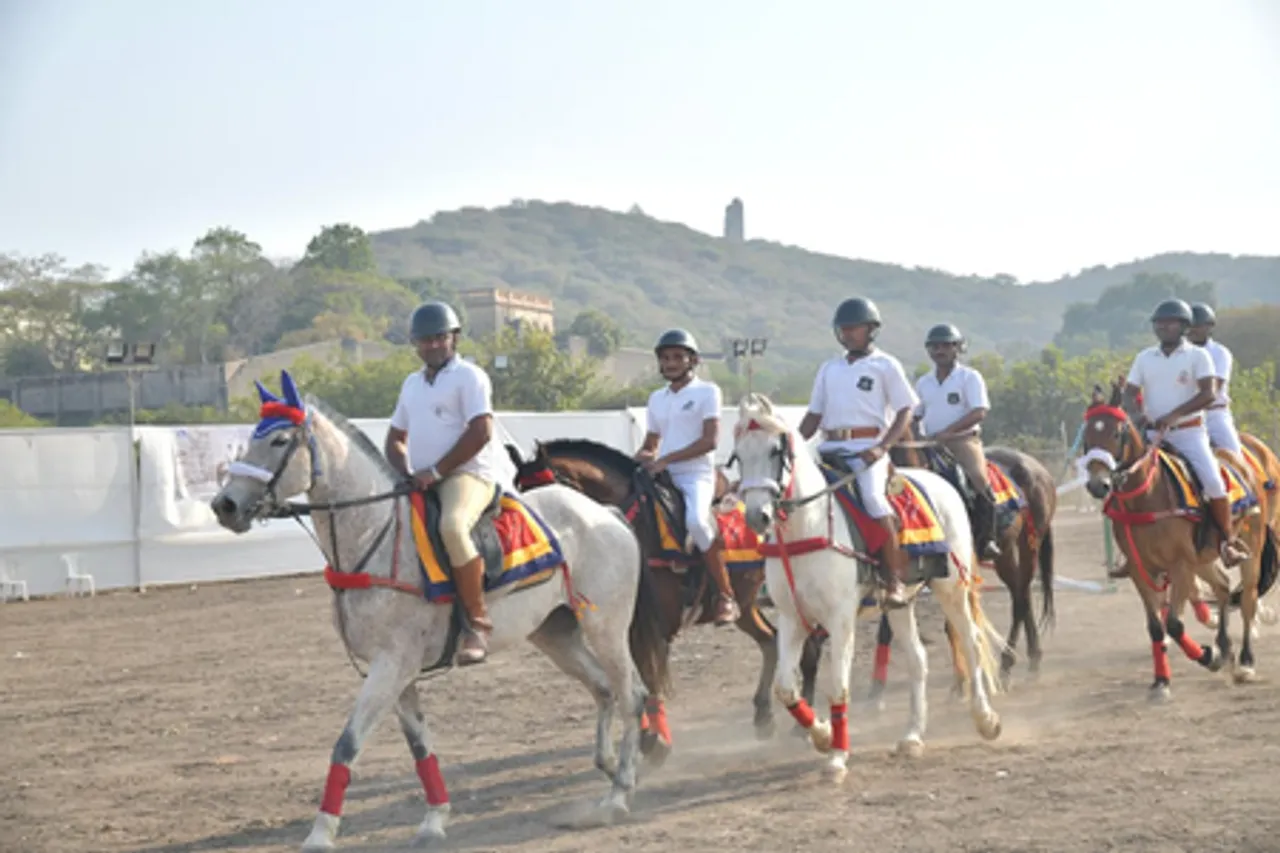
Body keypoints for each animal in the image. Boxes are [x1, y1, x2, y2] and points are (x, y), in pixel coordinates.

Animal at [209, 370, 671, 851]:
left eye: (280, 440)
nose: (224, 505)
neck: (377, 536)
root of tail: (606, 513)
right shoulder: (397, 670)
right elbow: (419, 747)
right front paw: (434, 820)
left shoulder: (391, 665)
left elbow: (348, 743)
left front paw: (321, 833)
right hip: (555, 634)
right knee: (603, 689)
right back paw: (613, 766)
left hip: (606, 627)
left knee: (631, 695)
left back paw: (617, 795)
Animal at [504, 438, 824, 759]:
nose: (534, 554)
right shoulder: (629, 625)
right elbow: (634, 676)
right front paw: (646, 733)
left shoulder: (655, 626)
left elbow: (650, 675)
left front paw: (654, 739)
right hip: (746, 606)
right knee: (770, 640)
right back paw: (764, 713)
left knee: (805, 647)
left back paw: (803, 723)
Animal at [731, 392, 1003, 783]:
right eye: (738, 455)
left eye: (774, 451)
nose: (757, 516)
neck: (806, 528)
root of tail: (942, 483)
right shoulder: (792, 618)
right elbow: (785, 688)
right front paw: (822, 735)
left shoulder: (840, 619)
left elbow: (837, 685)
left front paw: (837, 757)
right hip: (901, 603)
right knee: (918, 660)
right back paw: (912, 736)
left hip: (951, 587)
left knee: (970, 641)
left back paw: (985, 719)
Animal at [883, 441, 1058, 692]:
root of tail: (1039, 469)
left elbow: (957, 621)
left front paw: (964, 682)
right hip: (1005, 552)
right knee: (1021, 593)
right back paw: (1033, 658)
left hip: (1030, 544)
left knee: (1020, 599)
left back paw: (1008, 664)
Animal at [1080, 378, 1277, 700]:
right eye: (1087, 434)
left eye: (1116, 432)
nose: (1099, 484)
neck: (1147, 498)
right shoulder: (1141, 570)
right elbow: (1156, 628)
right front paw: (1162, 681)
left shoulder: (1180, 565)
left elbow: (1173, 623)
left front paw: (1207, 656)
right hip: (1205, 556)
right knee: (1223, 587)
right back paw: (1225, 646)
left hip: (1253, 545)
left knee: (1247, 598)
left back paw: (1246, 661)